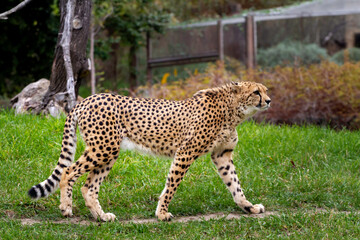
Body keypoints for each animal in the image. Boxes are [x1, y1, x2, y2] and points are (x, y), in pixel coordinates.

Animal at [28, 82, 270, 221]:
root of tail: (86, 99)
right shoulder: (185, 152)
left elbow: (235, 185)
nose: (268, 100)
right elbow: (172, 185)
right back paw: (66, 208)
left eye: (266, 91)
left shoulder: (222, 155)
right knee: (68, 171)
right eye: (256, 92)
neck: (234, 110)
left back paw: (101, 216)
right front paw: (161, 213)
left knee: (89, 186)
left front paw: (248, 207)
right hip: (102, 148)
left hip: (109, 152)